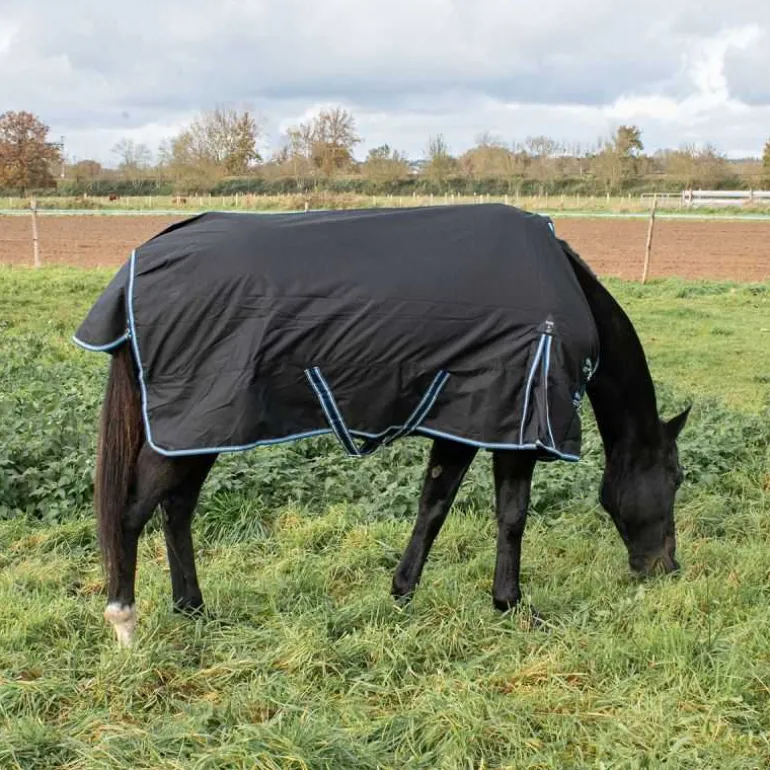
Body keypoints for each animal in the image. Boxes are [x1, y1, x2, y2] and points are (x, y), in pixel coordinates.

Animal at [80, 208, 690, 647]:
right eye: (677, 477)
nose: (667, 566)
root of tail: (141, 263)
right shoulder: (514, 426)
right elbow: (512, 516)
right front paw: (512, 605)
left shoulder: (461, 421)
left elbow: (434, 506)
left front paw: (402, 593)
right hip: (189, 429)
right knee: (132, 514)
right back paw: (126, 624)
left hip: (197, 433)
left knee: (176, 511)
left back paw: (194, 609)